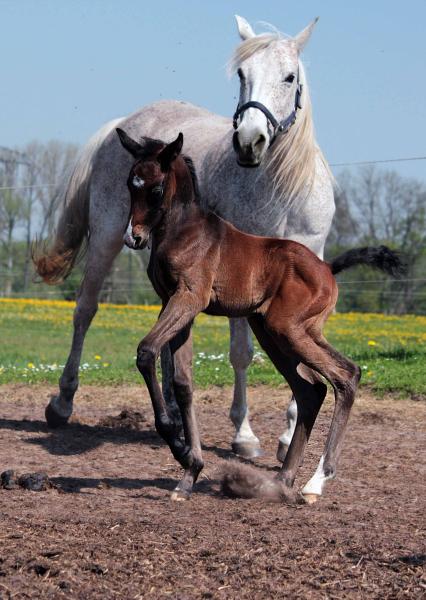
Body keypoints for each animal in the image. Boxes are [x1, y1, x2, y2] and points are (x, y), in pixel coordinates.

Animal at [35, 16, 334, 462]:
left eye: (289, 77)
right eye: (242, 74)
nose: (249, 141)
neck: (284, 189)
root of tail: (124, 123)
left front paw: (287, 436)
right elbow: (242, 353)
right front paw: (244, 434)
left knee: (165, 330)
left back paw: (175, 415)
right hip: (108, 235)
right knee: (85, 310)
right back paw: (62, 403)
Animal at [116, 130, 402, 502]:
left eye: (155, 189)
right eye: (129, 184)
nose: (132, 237)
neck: (184, 231)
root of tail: (327, 267)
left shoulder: (189, 299)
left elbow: (147, 351)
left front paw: (181, 451)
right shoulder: (172, 303)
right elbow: (183, 383)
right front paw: (189, 472)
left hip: (289, 330)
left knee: (345, 376)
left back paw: (315, 481)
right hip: (275, 330)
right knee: (311, 389)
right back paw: (282, 481)